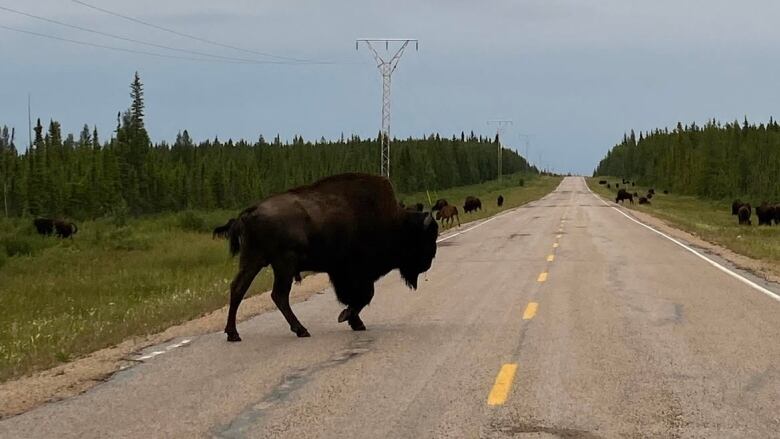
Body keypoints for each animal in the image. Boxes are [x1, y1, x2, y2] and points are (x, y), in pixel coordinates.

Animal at [219, 174, 438, 342]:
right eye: (426, 239)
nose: (429, 262)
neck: (396, 223)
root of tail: (250, 211)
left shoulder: (342, 273)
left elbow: (359, 297)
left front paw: (355, 322)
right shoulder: (352, 273)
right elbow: (364, 295)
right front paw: (347, 317)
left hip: (253, 261)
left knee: (238, 289)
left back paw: (233, 334)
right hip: (283, 265)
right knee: (278, 295)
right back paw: (301, 330)